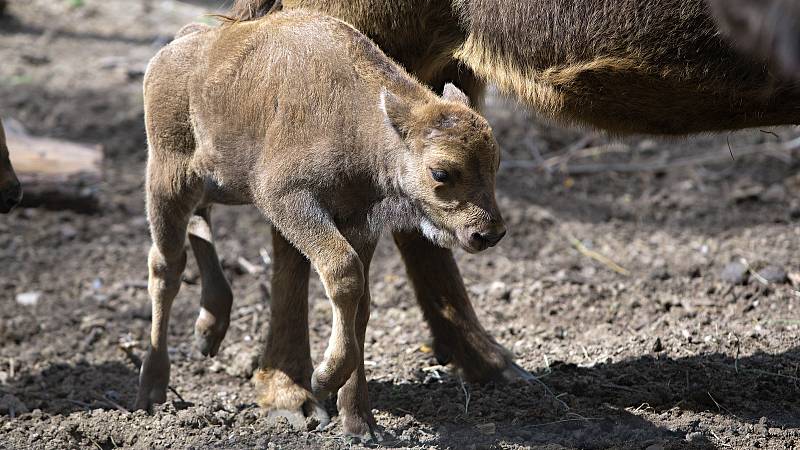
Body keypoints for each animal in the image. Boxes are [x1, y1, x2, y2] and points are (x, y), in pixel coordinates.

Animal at [134, 11, 504, 440]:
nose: (488, 233)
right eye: (441, 172)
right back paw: (152, 389)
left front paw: (360, 423)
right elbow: (343, 273)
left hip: (217, 182)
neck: (364, 121)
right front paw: (323, 381)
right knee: (165, 265)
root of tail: (179, 44)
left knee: (200, 221)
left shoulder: (359, 225)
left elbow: (361, 307)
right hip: (169, 179)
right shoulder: (289, 200)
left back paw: (209, 330)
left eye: (495, 163)